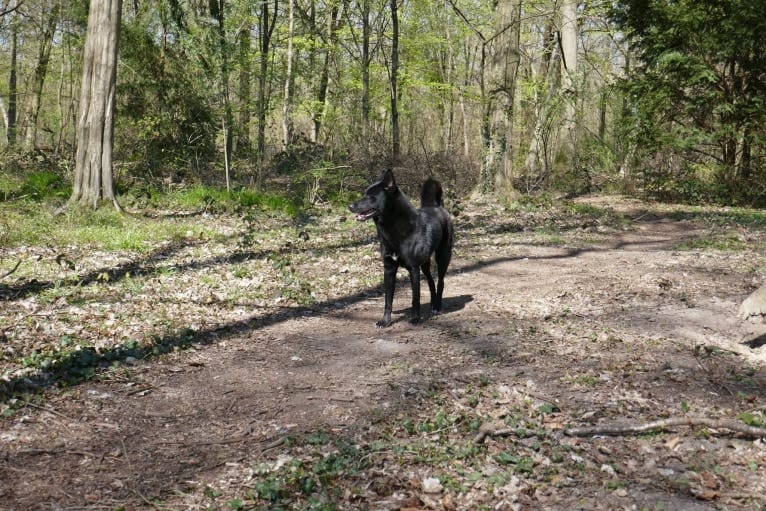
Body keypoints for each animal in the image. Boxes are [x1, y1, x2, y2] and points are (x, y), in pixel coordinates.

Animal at [352, 170, 452, 326]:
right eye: (364, 194)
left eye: (371, 197)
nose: (350, 206)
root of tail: (438, 207)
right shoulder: (389, 269)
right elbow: (388, 300)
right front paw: (385, 321)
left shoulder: (413, 269)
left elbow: (415, 298)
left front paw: (415, 318)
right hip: (425, 263)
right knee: (431, 281)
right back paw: (432, 304)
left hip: (443, 256)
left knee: (440, 281)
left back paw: (437, 307)